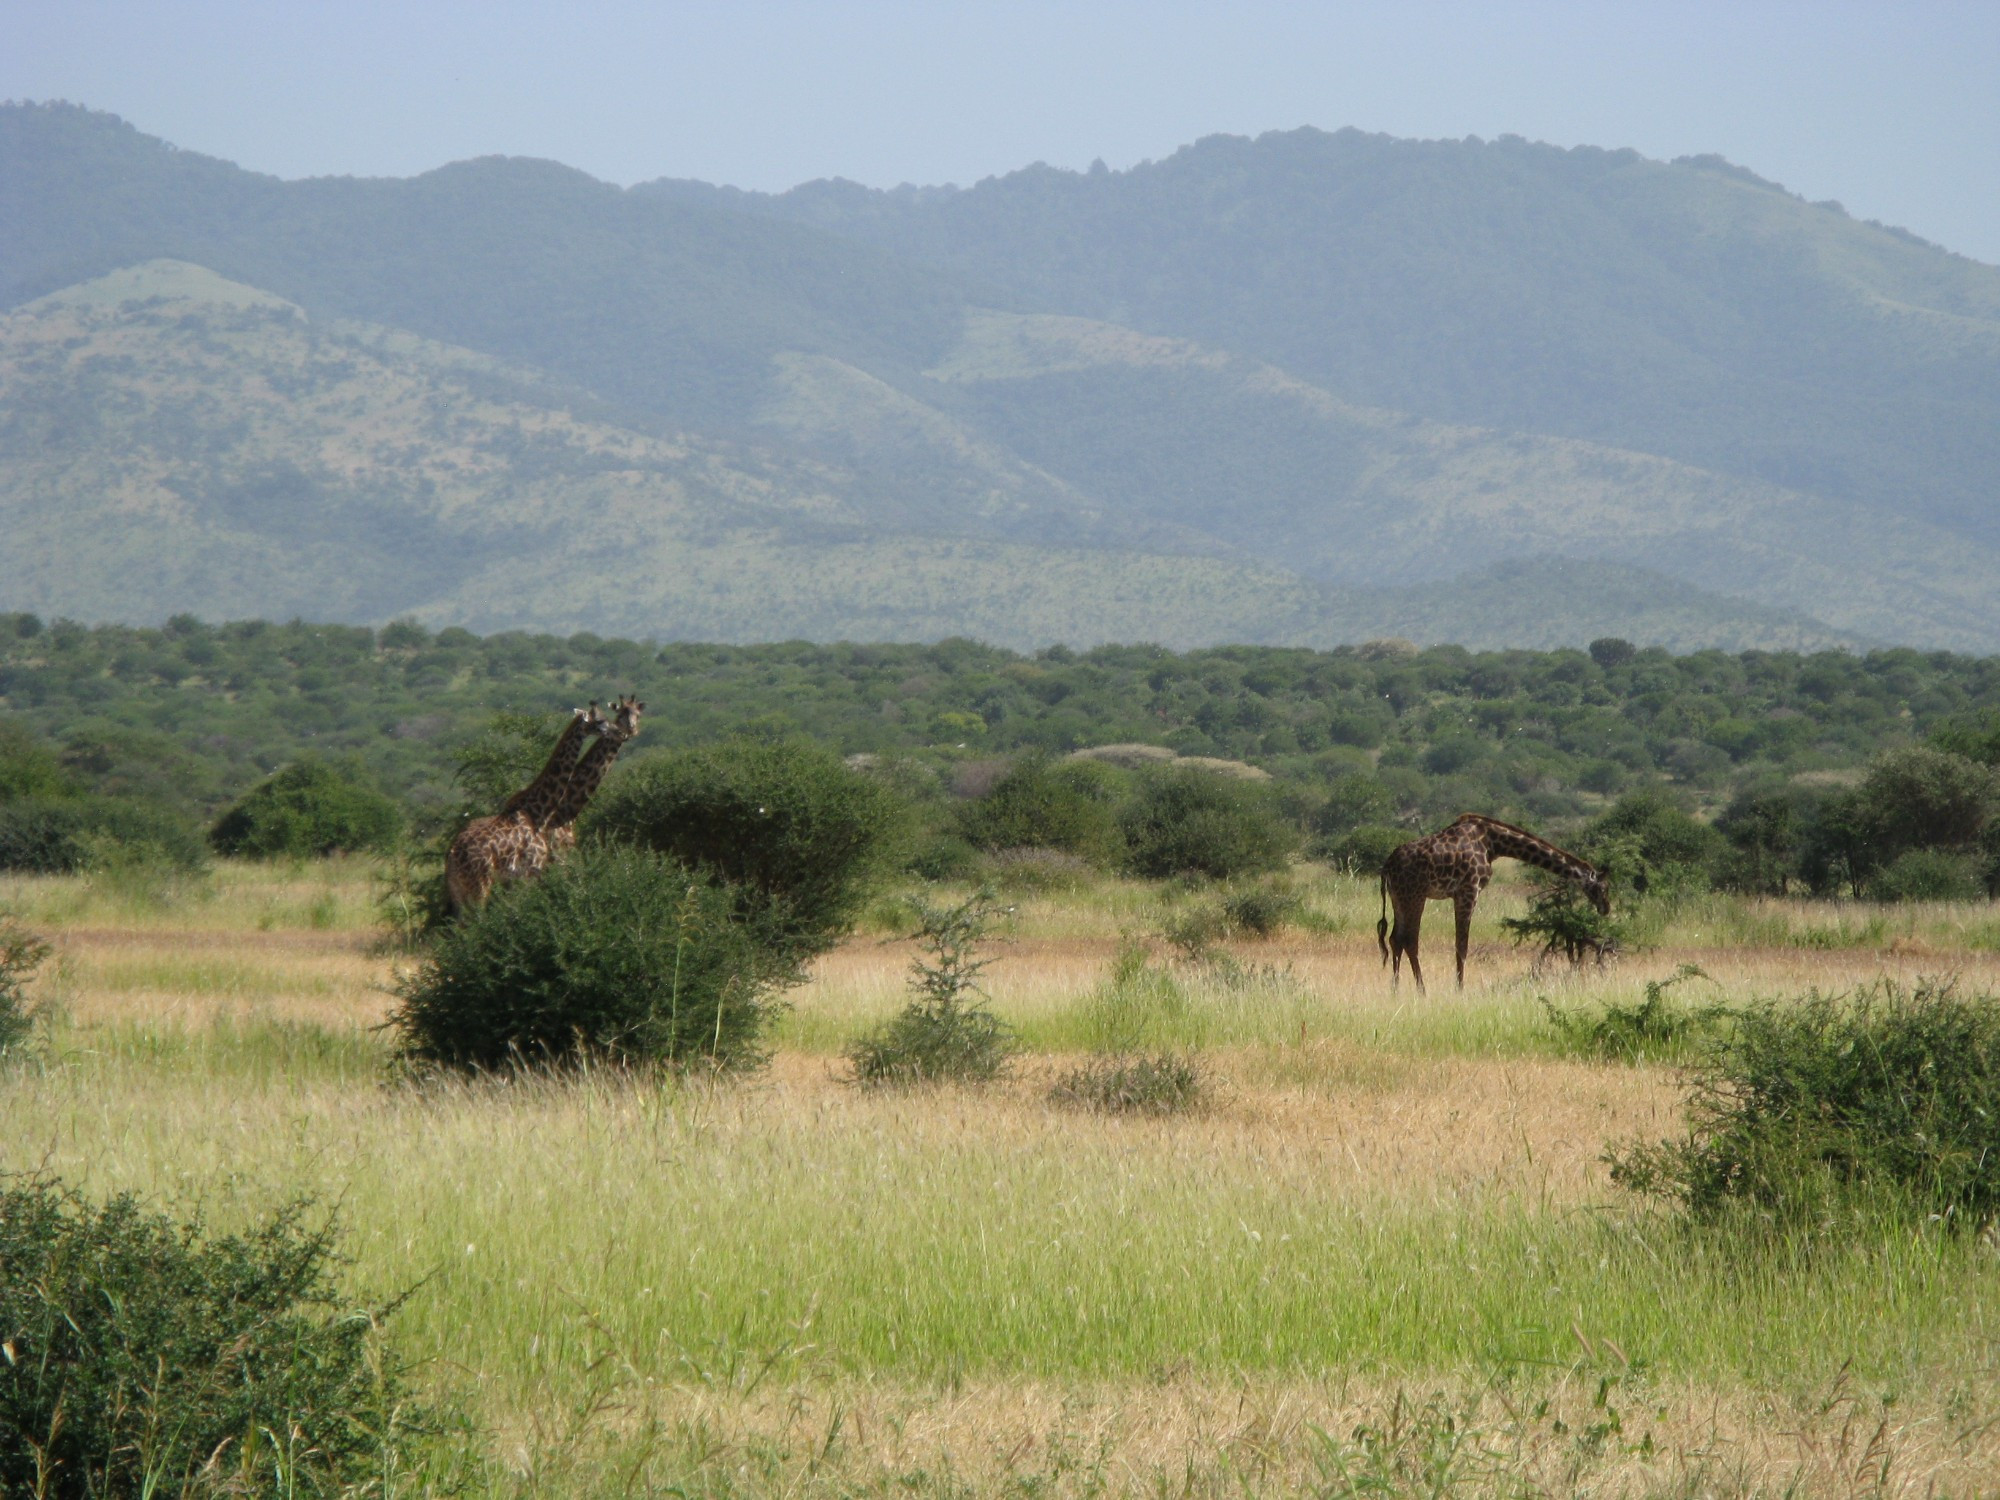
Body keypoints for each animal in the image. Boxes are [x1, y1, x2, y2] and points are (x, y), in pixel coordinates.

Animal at [448, 704, 608, 916]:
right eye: (599, 720)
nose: (610, 729)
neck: (537, 811)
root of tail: (451, 854)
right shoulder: (531, 869)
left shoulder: (519, 877)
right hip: (479, 884)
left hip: (459, 891)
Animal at [1376, 816, 1608, 992]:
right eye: (1603, 888)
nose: (1606, 908)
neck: (1493, 843)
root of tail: (1386, 866)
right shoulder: (1469, 890)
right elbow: (1462, 946)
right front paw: (1460, 990)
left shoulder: (1463, 893)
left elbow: (1460, 945)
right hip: (1415, 895)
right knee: (1410, 940)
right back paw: (1421, 990)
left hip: (1399, 897)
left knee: (1395, 939)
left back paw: (1395, 989)